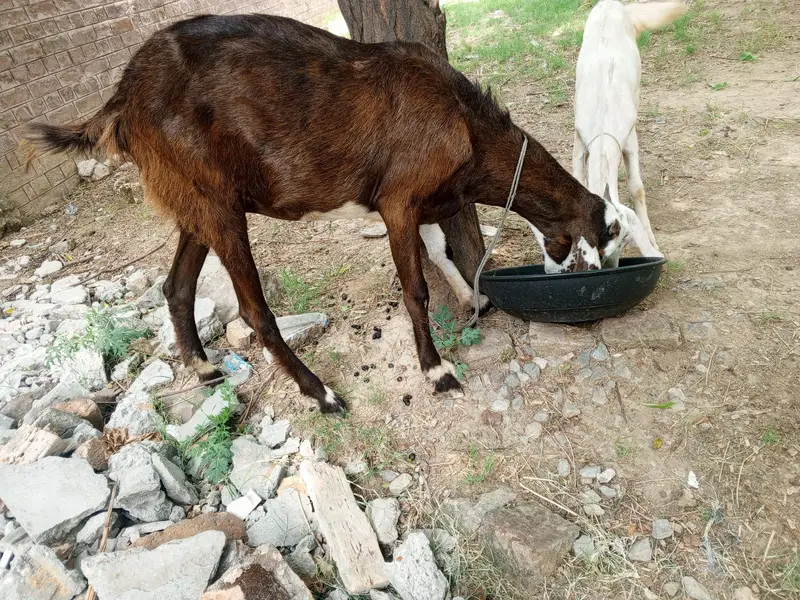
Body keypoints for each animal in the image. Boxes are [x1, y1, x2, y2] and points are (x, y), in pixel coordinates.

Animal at [28, 14, 634, 413]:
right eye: (611, 239)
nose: (588, 273)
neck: (466, 125)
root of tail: (123, 95)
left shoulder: (427, 201)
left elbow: (441, 250)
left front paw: (473, 298)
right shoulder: (398, 201)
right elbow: (415, 287)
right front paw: (436, 370)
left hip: (194, 200)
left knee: (177, 288)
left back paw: (203, 368)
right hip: (219, 206)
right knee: (253, 311)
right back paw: (320, 392)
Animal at [573, 0, 686, 266]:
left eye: (625, 243)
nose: (609, 266)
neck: (603, 127)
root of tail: (610, 4)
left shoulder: (629, 137)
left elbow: (636, 187)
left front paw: (651, 238)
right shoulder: (579, 138)